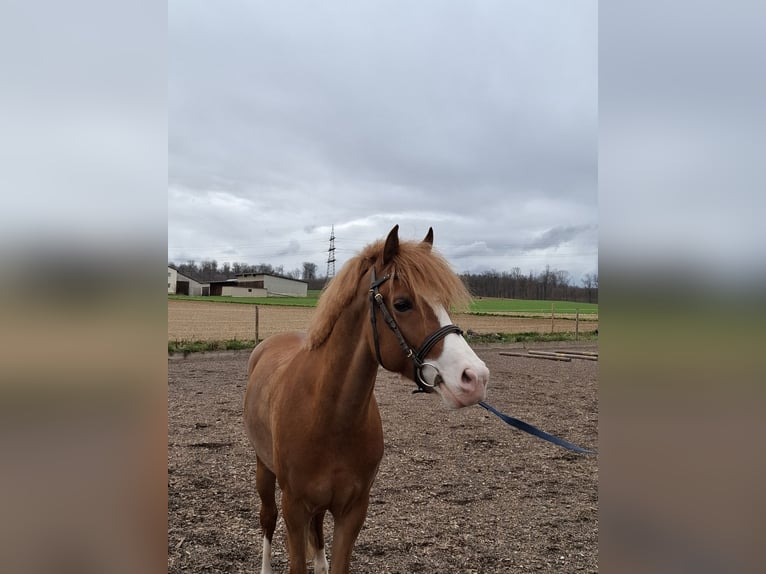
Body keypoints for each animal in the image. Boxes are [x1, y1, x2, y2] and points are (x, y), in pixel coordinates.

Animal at [244, 225, 490, 573]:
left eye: (443, 303)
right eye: (402, 304)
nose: (475, 378)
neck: (327, 416)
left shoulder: (353, 510)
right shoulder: (294, 508)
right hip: (263, 470)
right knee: (267, 518)